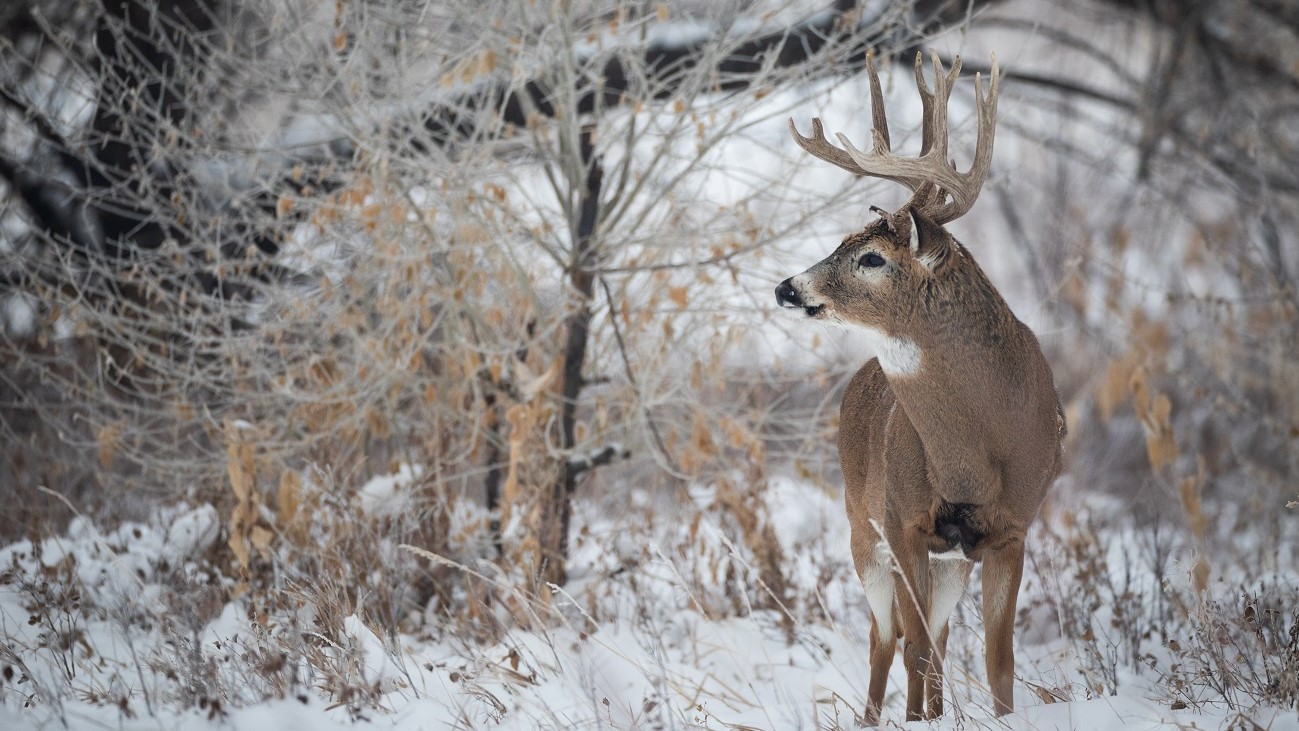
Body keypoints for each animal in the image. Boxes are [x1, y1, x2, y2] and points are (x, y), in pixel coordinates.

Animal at [774, 52, 1059, 727]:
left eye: (872, 257)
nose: (787, 288)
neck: (977, 454)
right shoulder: (901, 521)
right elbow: (915, 647)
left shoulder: (1014, 529)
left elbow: (998, 661)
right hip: (860, 524)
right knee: (888, 637)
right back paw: (876, 715)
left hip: (948, 559)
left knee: (937, 635)